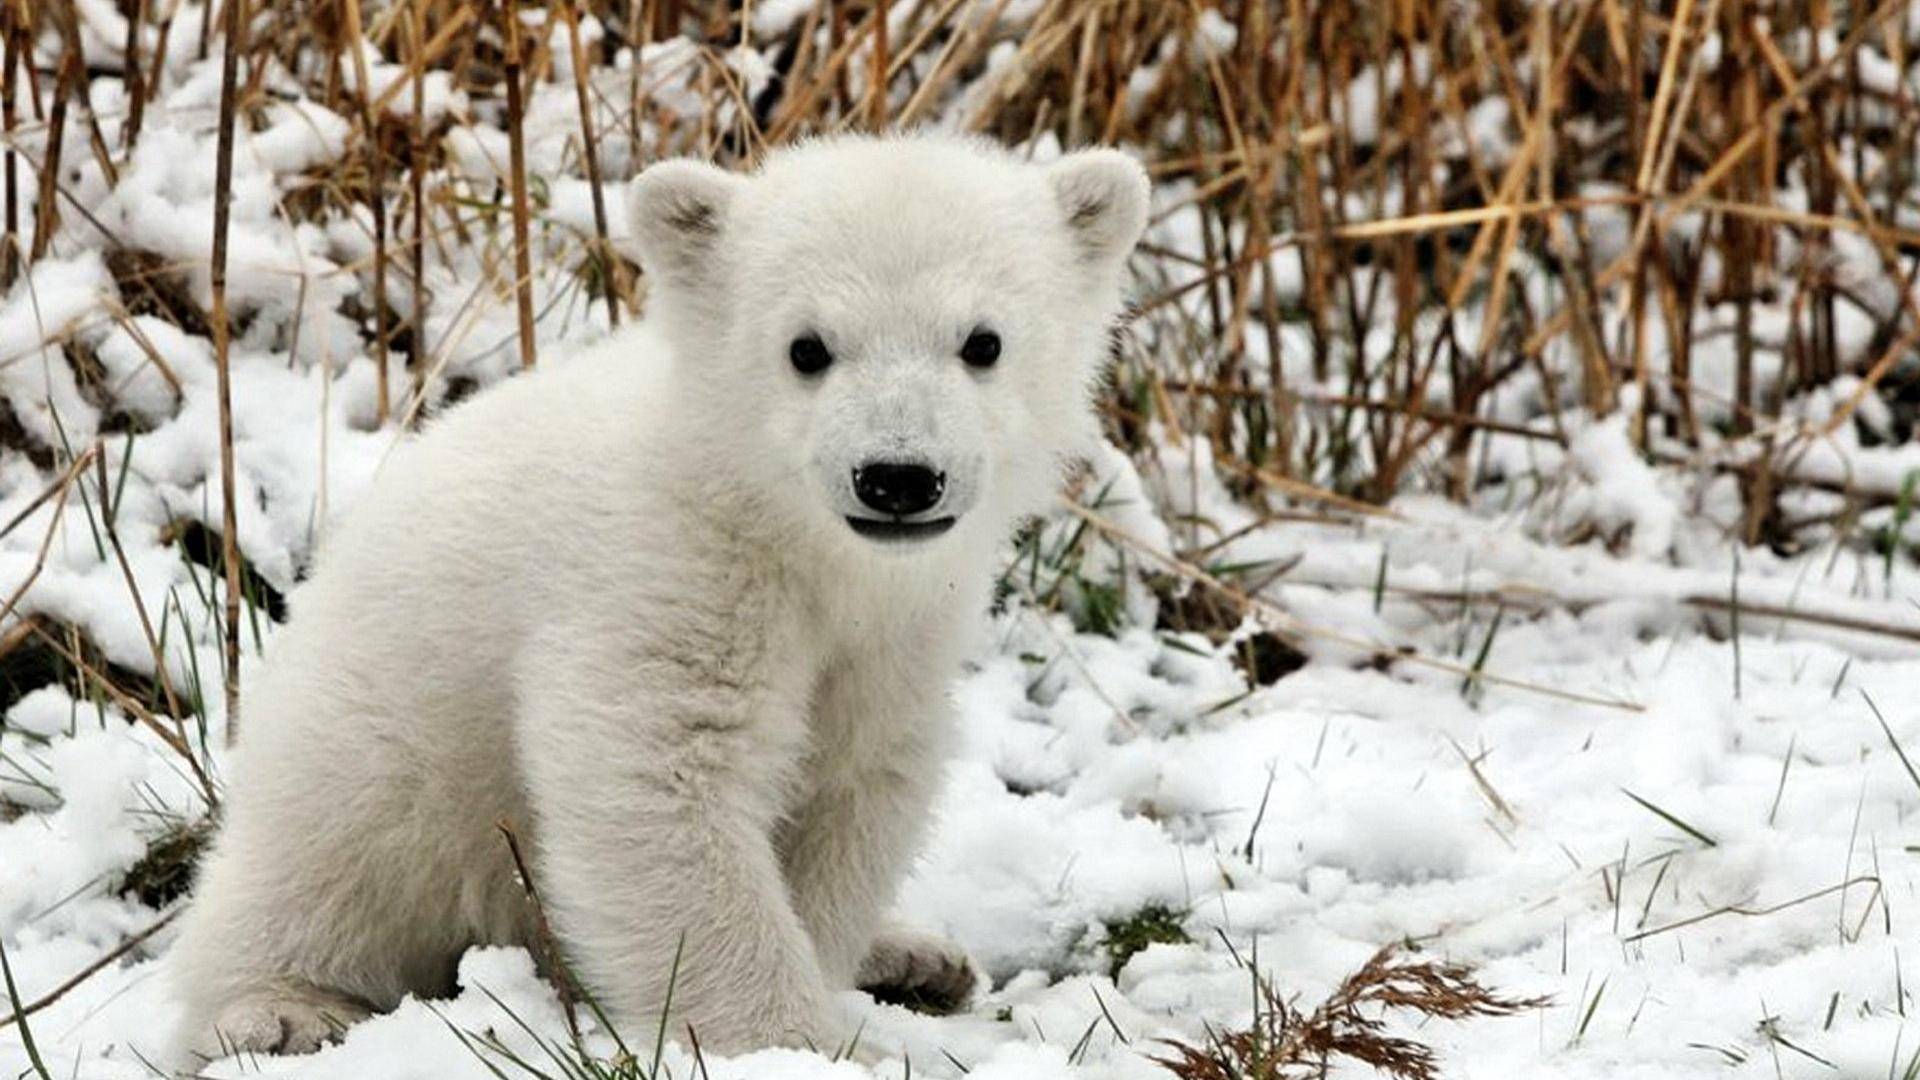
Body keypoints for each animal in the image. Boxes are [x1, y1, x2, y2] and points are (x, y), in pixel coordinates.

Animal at [165, 132, 1149, 1063]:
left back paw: (917, 955)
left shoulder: (896, 634)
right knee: (324, 863)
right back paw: (281, 1010)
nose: (898, 477)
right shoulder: (662, 576)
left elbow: (853, 783)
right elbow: (658, 781)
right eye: (806, 347)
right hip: (376, 742)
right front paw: (794, 1043)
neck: (781, 528)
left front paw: (840, 977)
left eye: (983, 341)